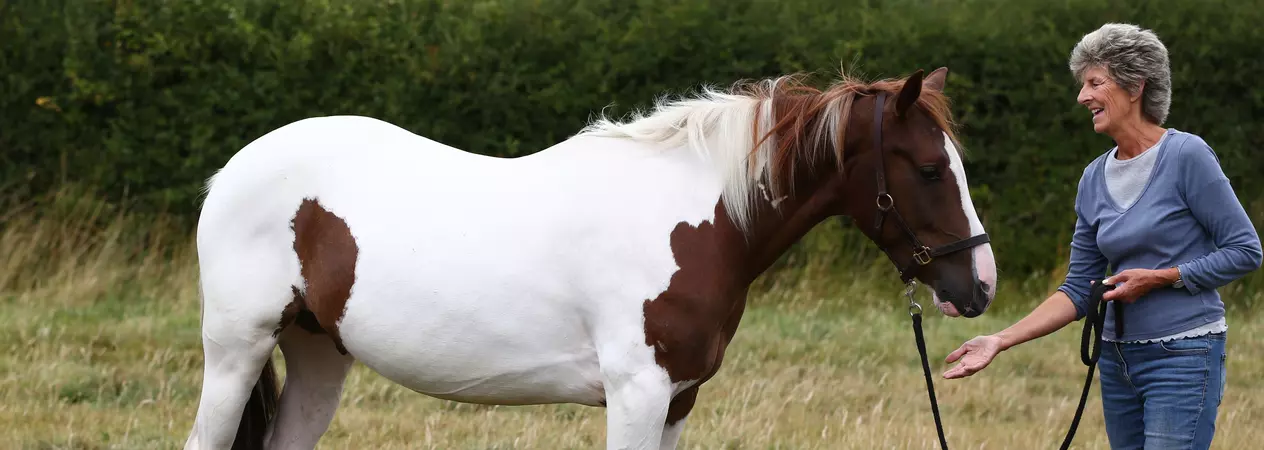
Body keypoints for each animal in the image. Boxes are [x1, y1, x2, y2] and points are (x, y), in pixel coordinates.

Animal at [183, 66, 996, 450]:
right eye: (930, 169)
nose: (979, 285)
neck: (695, 220)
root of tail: (231, 171)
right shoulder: (637, 393)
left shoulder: (677, 400)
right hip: (237, 350)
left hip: (319, 352)